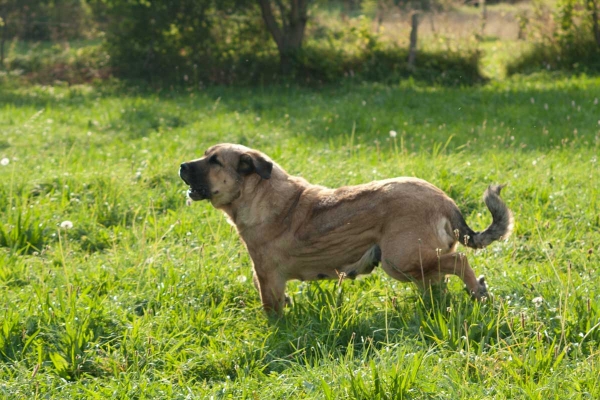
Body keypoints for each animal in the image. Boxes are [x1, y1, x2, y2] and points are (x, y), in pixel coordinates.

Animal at [180, 144, 512, 316]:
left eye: (214, 161)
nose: (181, 166)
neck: (258, 193)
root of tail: (445, 200)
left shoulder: (268, 277)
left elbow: (272, 310)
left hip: (399, 260)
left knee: (459, 262)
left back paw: (478, 292)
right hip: (413, 264)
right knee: (439, 281)